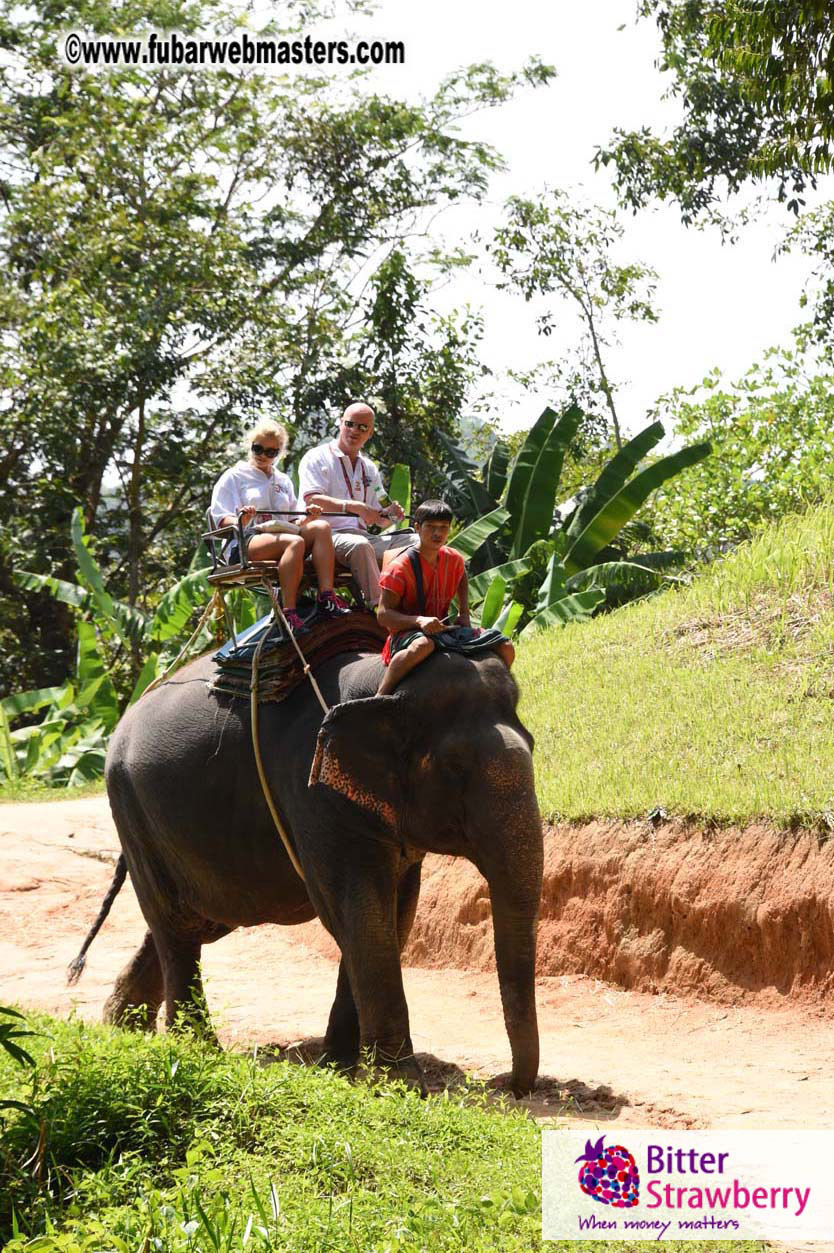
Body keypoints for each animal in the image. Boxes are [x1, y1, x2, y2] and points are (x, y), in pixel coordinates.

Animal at [84, 643, 543, 1096]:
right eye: (454, 767)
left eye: (533, 744)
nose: (507, 1086)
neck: (384, 684)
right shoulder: (311, 789)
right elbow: (357, 912)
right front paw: (399, 1086)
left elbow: (395, 915)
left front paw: (338, 1069)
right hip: (132, 812)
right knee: (175, 927)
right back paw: (195, 1050)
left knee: (195, 923)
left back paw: (121, 1027)